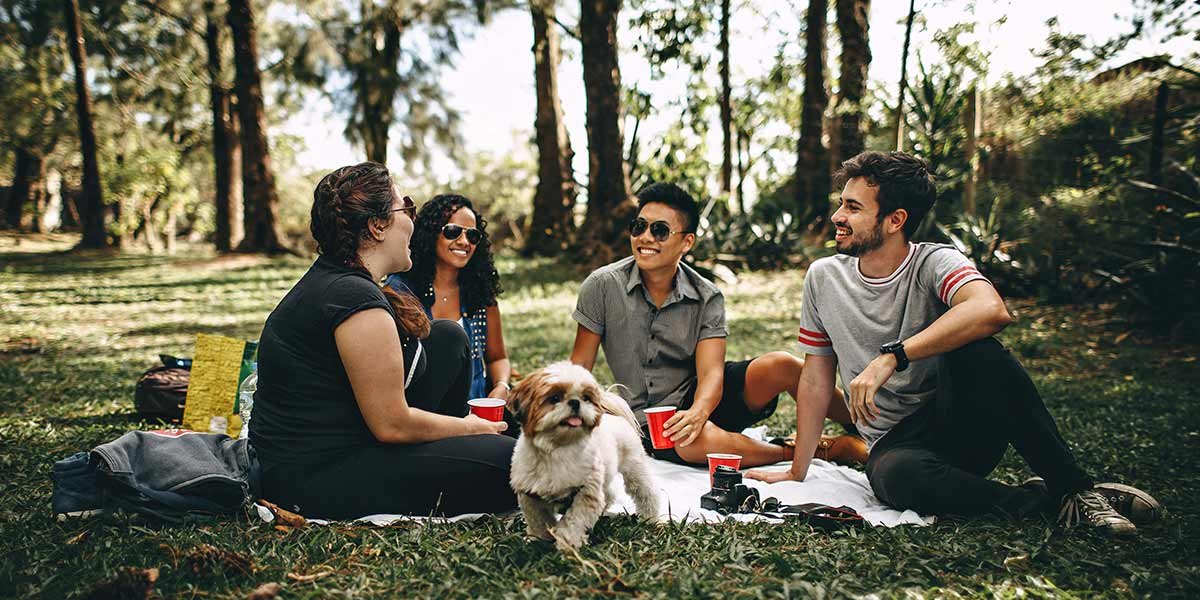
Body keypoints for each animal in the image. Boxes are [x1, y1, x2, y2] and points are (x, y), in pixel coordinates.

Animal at [504, 360, 662, 552]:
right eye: (554, 398)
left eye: (585, 398)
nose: (575, 402)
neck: (558, 448)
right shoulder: (530, 495)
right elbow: (538, 521)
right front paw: (538, 540)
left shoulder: (586, 492)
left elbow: (574, 521)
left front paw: (568, 544)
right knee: (608, 494)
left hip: (634, 469)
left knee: (646, 493)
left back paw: (650, 518)